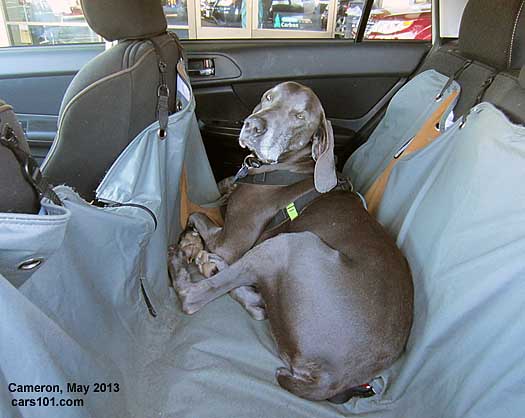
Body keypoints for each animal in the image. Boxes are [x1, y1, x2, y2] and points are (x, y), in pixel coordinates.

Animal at [170, 80, 412, 404]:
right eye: (268, 97)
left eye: (299, 116)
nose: (254, 125)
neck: (292, 167)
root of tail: (330, 380)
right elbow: (222, 188)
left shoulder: (230, 241)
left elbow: (197, 214)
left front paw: (194, 244)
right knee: (254, 298)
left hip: (290, 245)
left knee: (196, 295)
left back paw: (192, 262)